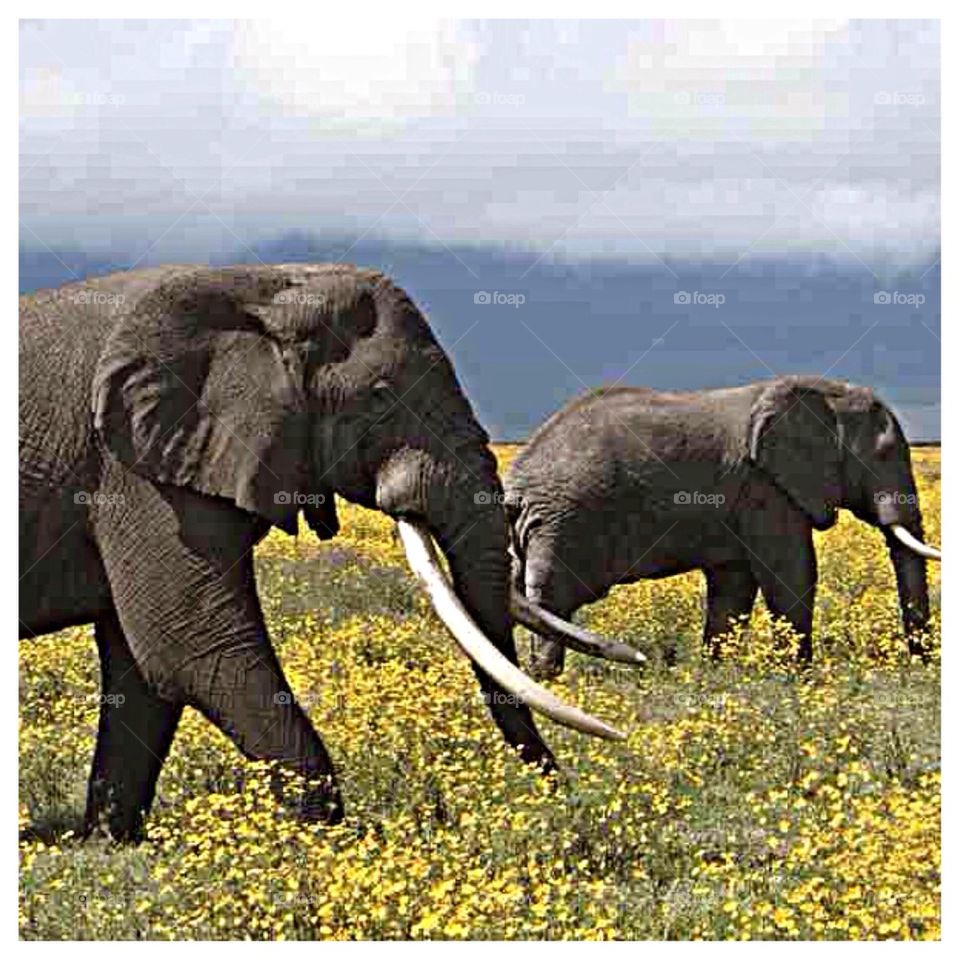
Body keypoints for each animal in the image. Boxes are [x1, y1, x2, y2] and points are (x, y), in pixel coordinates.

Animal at [19, 264, 625, 841]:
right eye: (380, 397)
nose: (564, 792)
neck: (262, 286)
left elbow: (142, 669)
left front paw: (108, 844)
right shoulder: (134, 473)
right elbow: (190, 646)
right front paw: (320, 841)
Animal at [504, 376, 940, 677]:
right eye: (884, 455)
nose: (922, 665)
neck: (822, 391)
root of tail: (514, 486)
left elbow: (733, 585)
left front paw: (718, 672)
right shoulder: (765, 487)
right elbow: (791, 572)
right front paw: (798, 677)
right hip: (561, 519)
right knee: (553, 599)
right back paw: (547, 679)